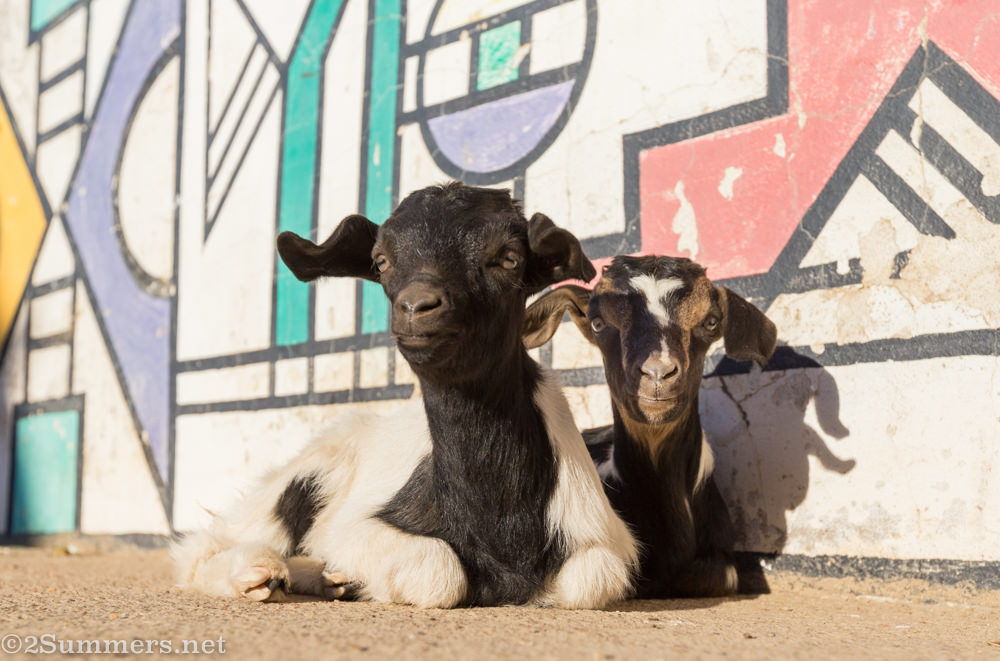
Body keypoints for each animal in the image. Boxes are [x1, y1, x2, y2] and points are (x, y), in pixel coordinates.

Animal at [172, 183, 637, 608]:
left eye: (508, 258)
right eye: (381, 261)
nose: (416, 307)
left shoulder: (602, 540)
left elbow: (592, 579)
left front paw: (337, 576)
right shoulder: (357, 525)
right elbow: (438, 571)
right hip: (307, 470)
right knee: (205, 544)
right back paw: (256, 574)